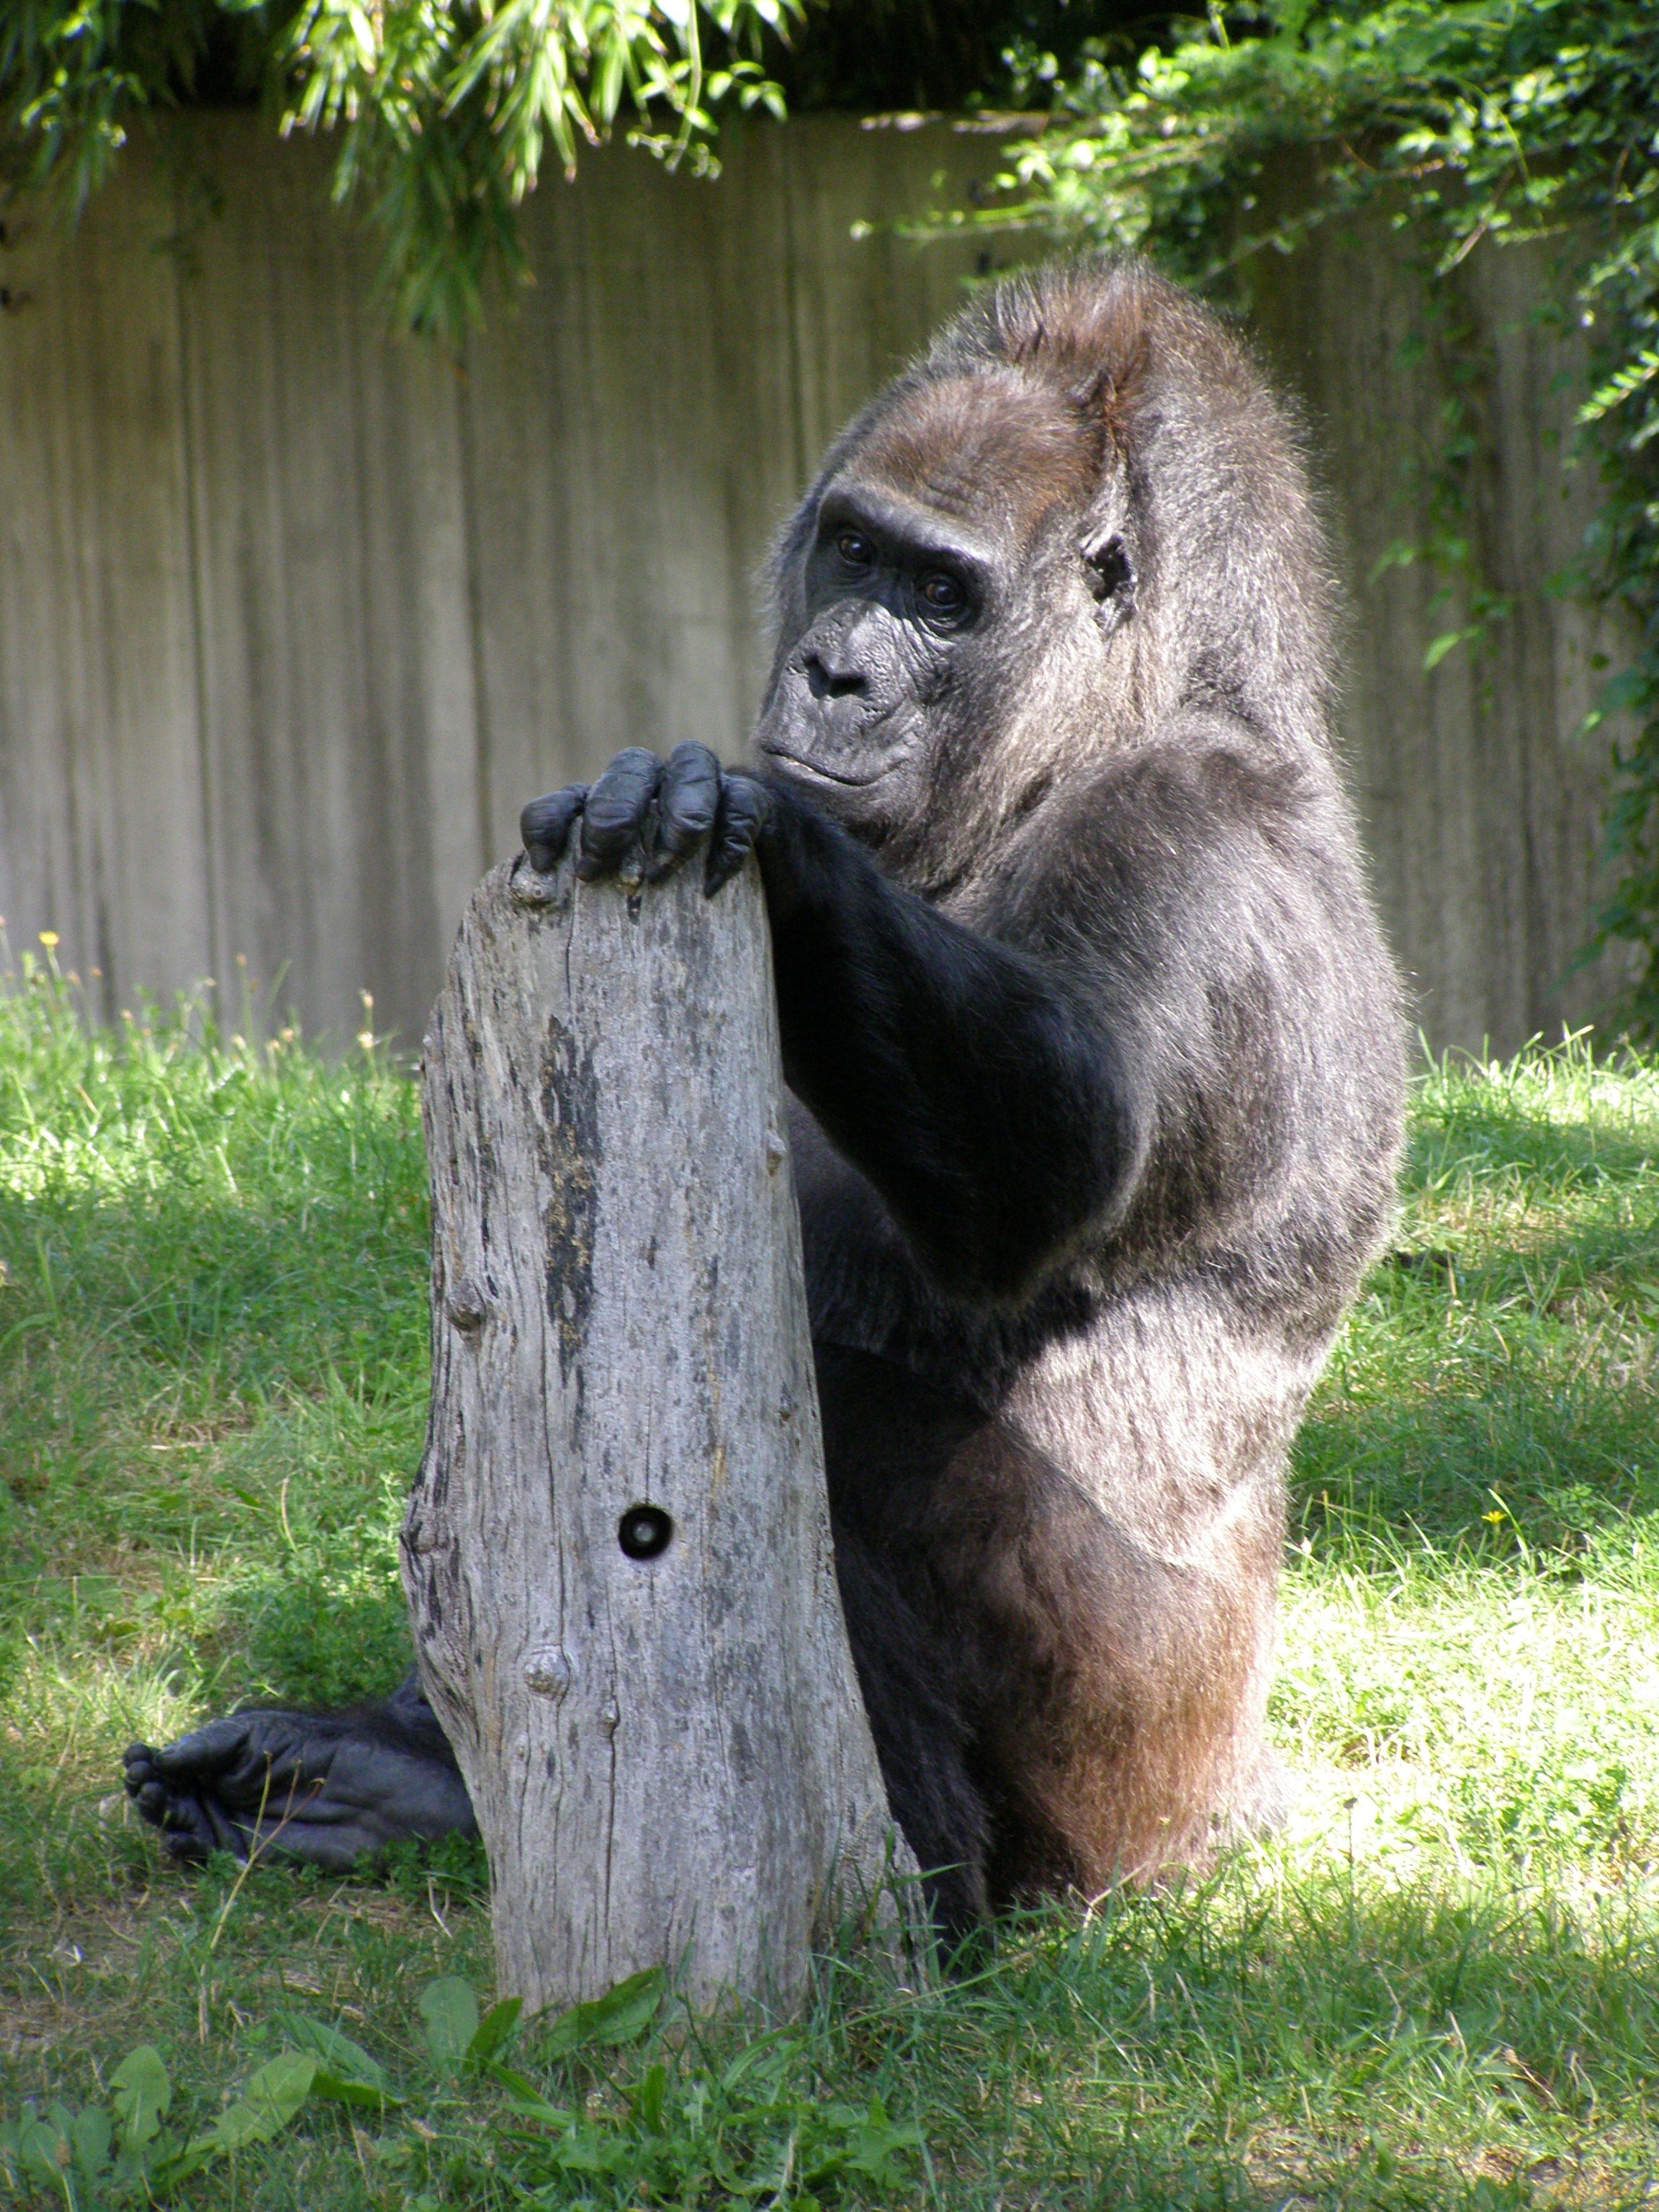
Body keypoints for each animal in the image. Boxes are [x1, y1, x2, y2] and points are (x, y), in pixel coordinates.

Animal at [126, 251, 1406, 1928]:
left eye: (942, 595)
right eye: (854, 551)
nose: (835, 670)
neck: (1133, 705)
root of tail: (1233, 1800)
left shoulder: (1188, 841)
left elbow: (1049, 1155)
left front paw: (777, 858)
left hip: (1131, 1796)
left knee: (845, 1436)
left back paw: (896, 1881)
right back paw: (389, 1776)